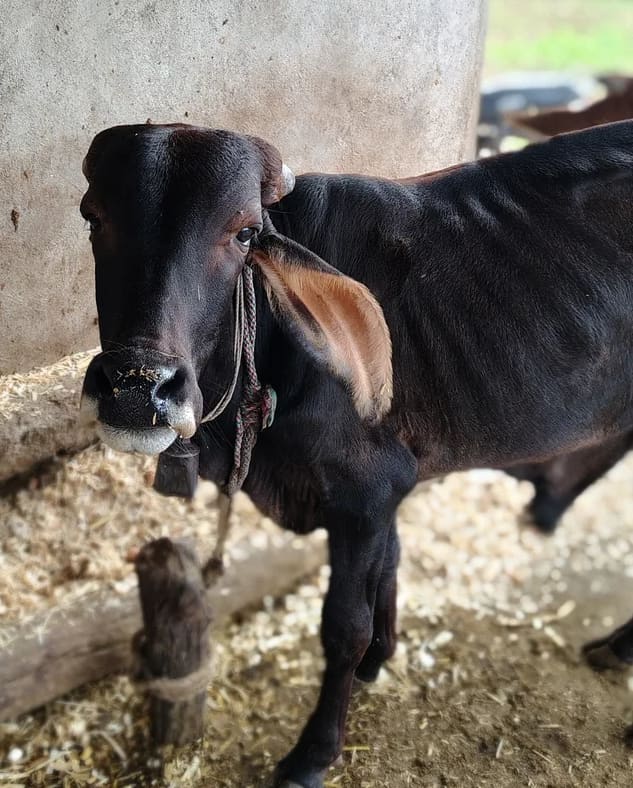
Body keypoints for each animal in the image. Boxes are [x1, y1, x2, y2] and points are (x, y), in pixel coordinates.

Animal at [80, 120, 633, 786]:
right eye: (92, 216)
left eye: (244, 233)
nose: (138, 388)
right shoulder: (383, 496)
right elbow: (389, 567)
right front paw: (378, 660)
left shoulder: (367, 491)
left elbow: (345, 624)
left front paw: (313, 753)